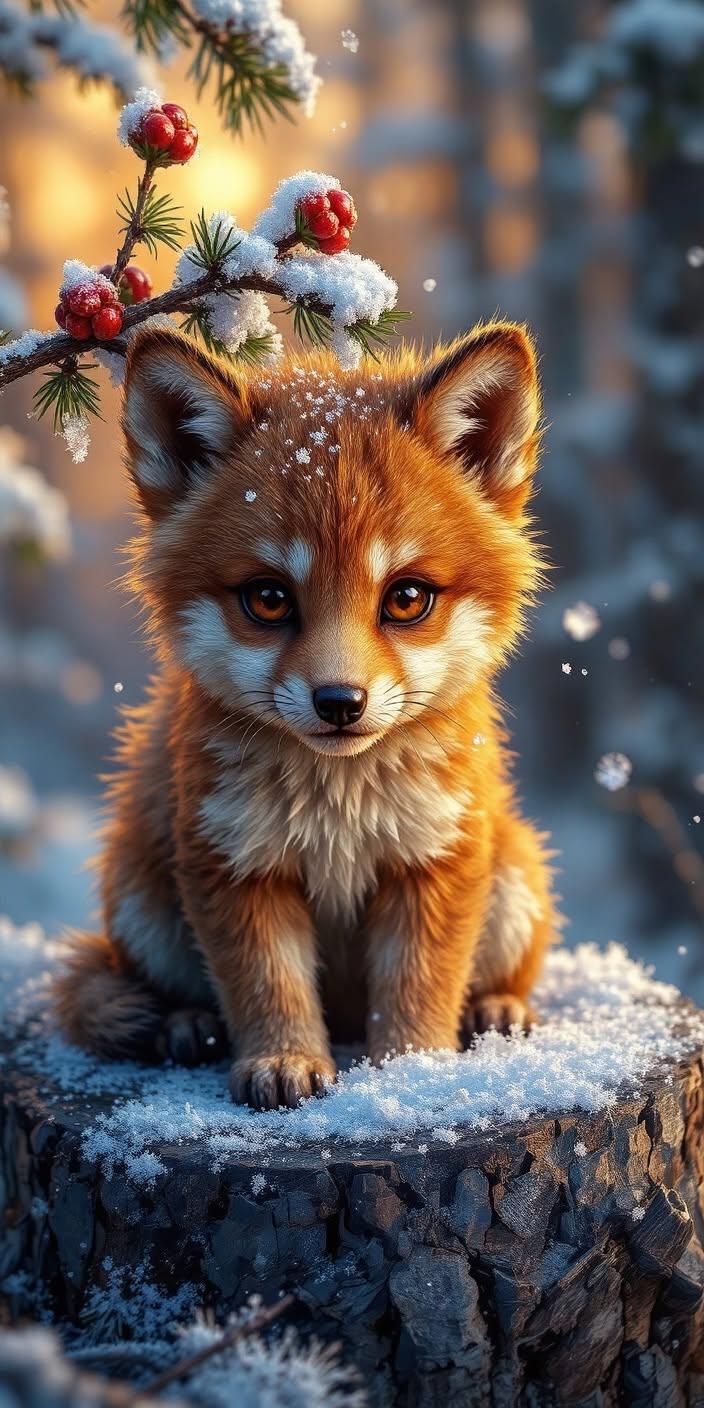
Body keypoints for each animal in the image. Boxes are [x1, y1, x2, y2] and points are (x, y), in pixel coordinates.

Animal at [52, 319, 558, 1110]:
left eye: (407, 598)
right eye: (268, 599)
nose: (340, 702)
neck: (338, 818)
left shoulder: (432, 860)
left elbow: (418, 994)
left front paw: (412, 1078)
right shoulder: (235, 863)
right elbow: (269, 987)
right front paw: (285, 1060)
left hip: (513, 881)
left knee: (496, 980)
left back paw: (496, 1009)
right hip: (142, 901)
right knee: (158, 990)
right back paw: (185, 1024)